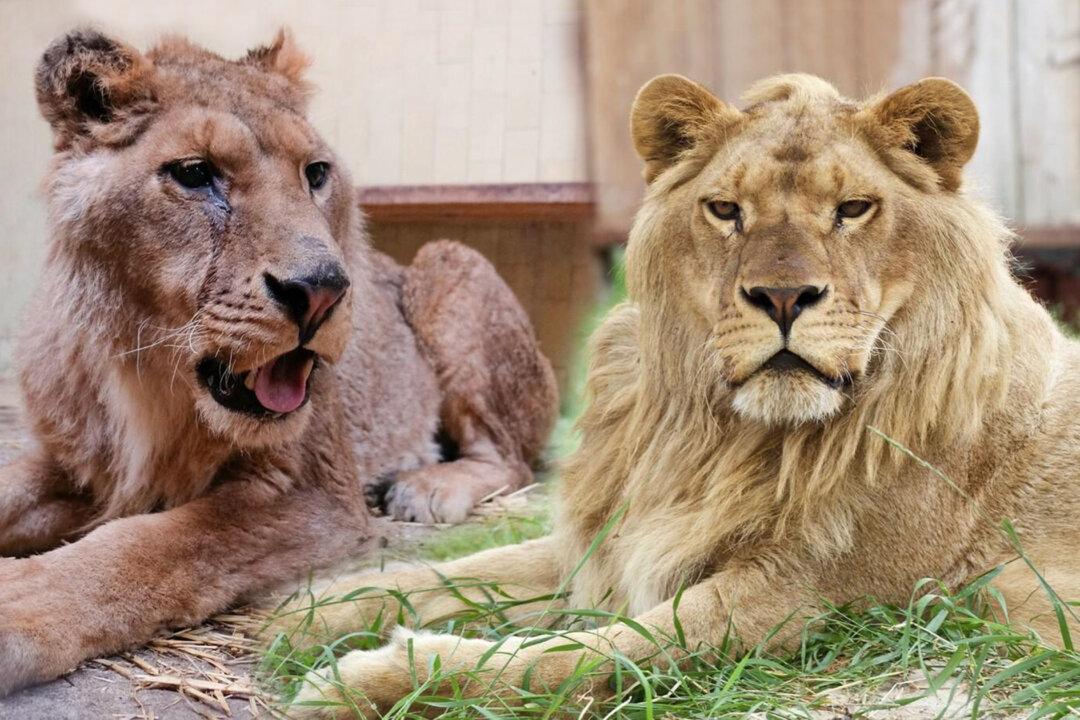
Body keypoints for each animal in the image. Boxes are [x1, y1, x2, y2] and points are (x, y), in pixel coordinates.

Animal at [0, 29, 557, 695]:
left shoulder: (319, 497)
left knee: (512, 459)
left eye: (315, 174)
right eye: (195, 174)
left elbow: (151, 544)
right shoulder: (77, 465)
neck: (150, 380)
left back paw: (426, 486)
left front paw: (15, 609)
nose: (322, 291)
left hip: (448, 259)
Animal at [271, 73, 1080, 718]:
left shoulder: (801, 600)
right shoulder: (612, 535)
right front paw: (310, 610)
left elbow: (578, 658)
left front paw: (367, 680)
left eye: (853, 208)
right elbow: (456, 572)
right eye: (725, 210)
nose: (782, 297)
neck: (722, 434)